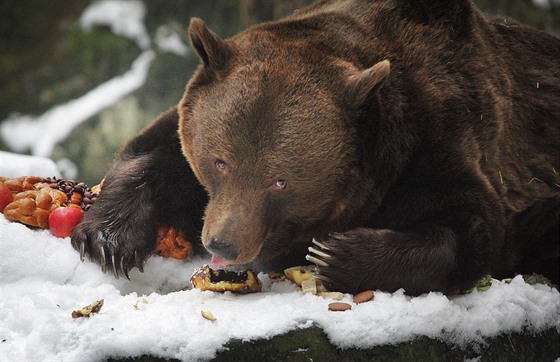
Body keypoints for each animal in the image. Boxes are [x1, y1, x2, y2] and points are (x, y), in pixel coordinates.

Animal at [72, 0, 556, 296]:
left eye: (281, 181)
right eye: (220, 161)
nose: (223, 242)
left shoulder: (441, 141)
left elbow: (469, 227)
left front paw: (333, 253)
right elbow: (155, 153)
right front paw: (110, 240)